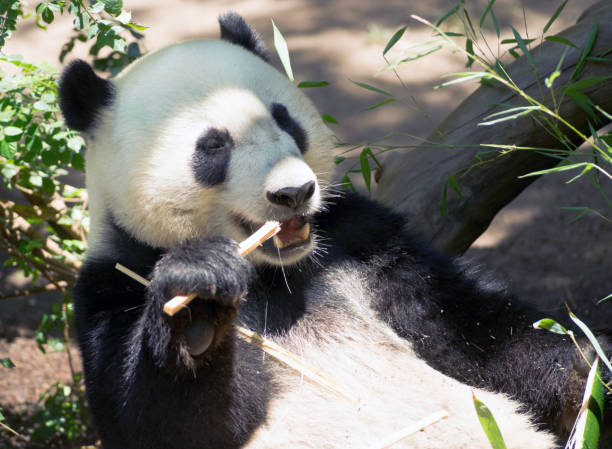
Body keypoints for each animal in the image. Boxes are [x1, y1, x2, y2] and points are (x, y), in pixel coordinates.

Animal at [58, 11, 608, 448]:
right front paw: (198, 307)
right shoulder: (116, 280)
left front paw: (587, 366)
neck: (276, 271)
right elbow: (164, 422)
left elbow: (471, 332)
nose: (293, 192)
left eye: (285, 119)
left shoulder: (359, 244)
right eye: (213, 147)